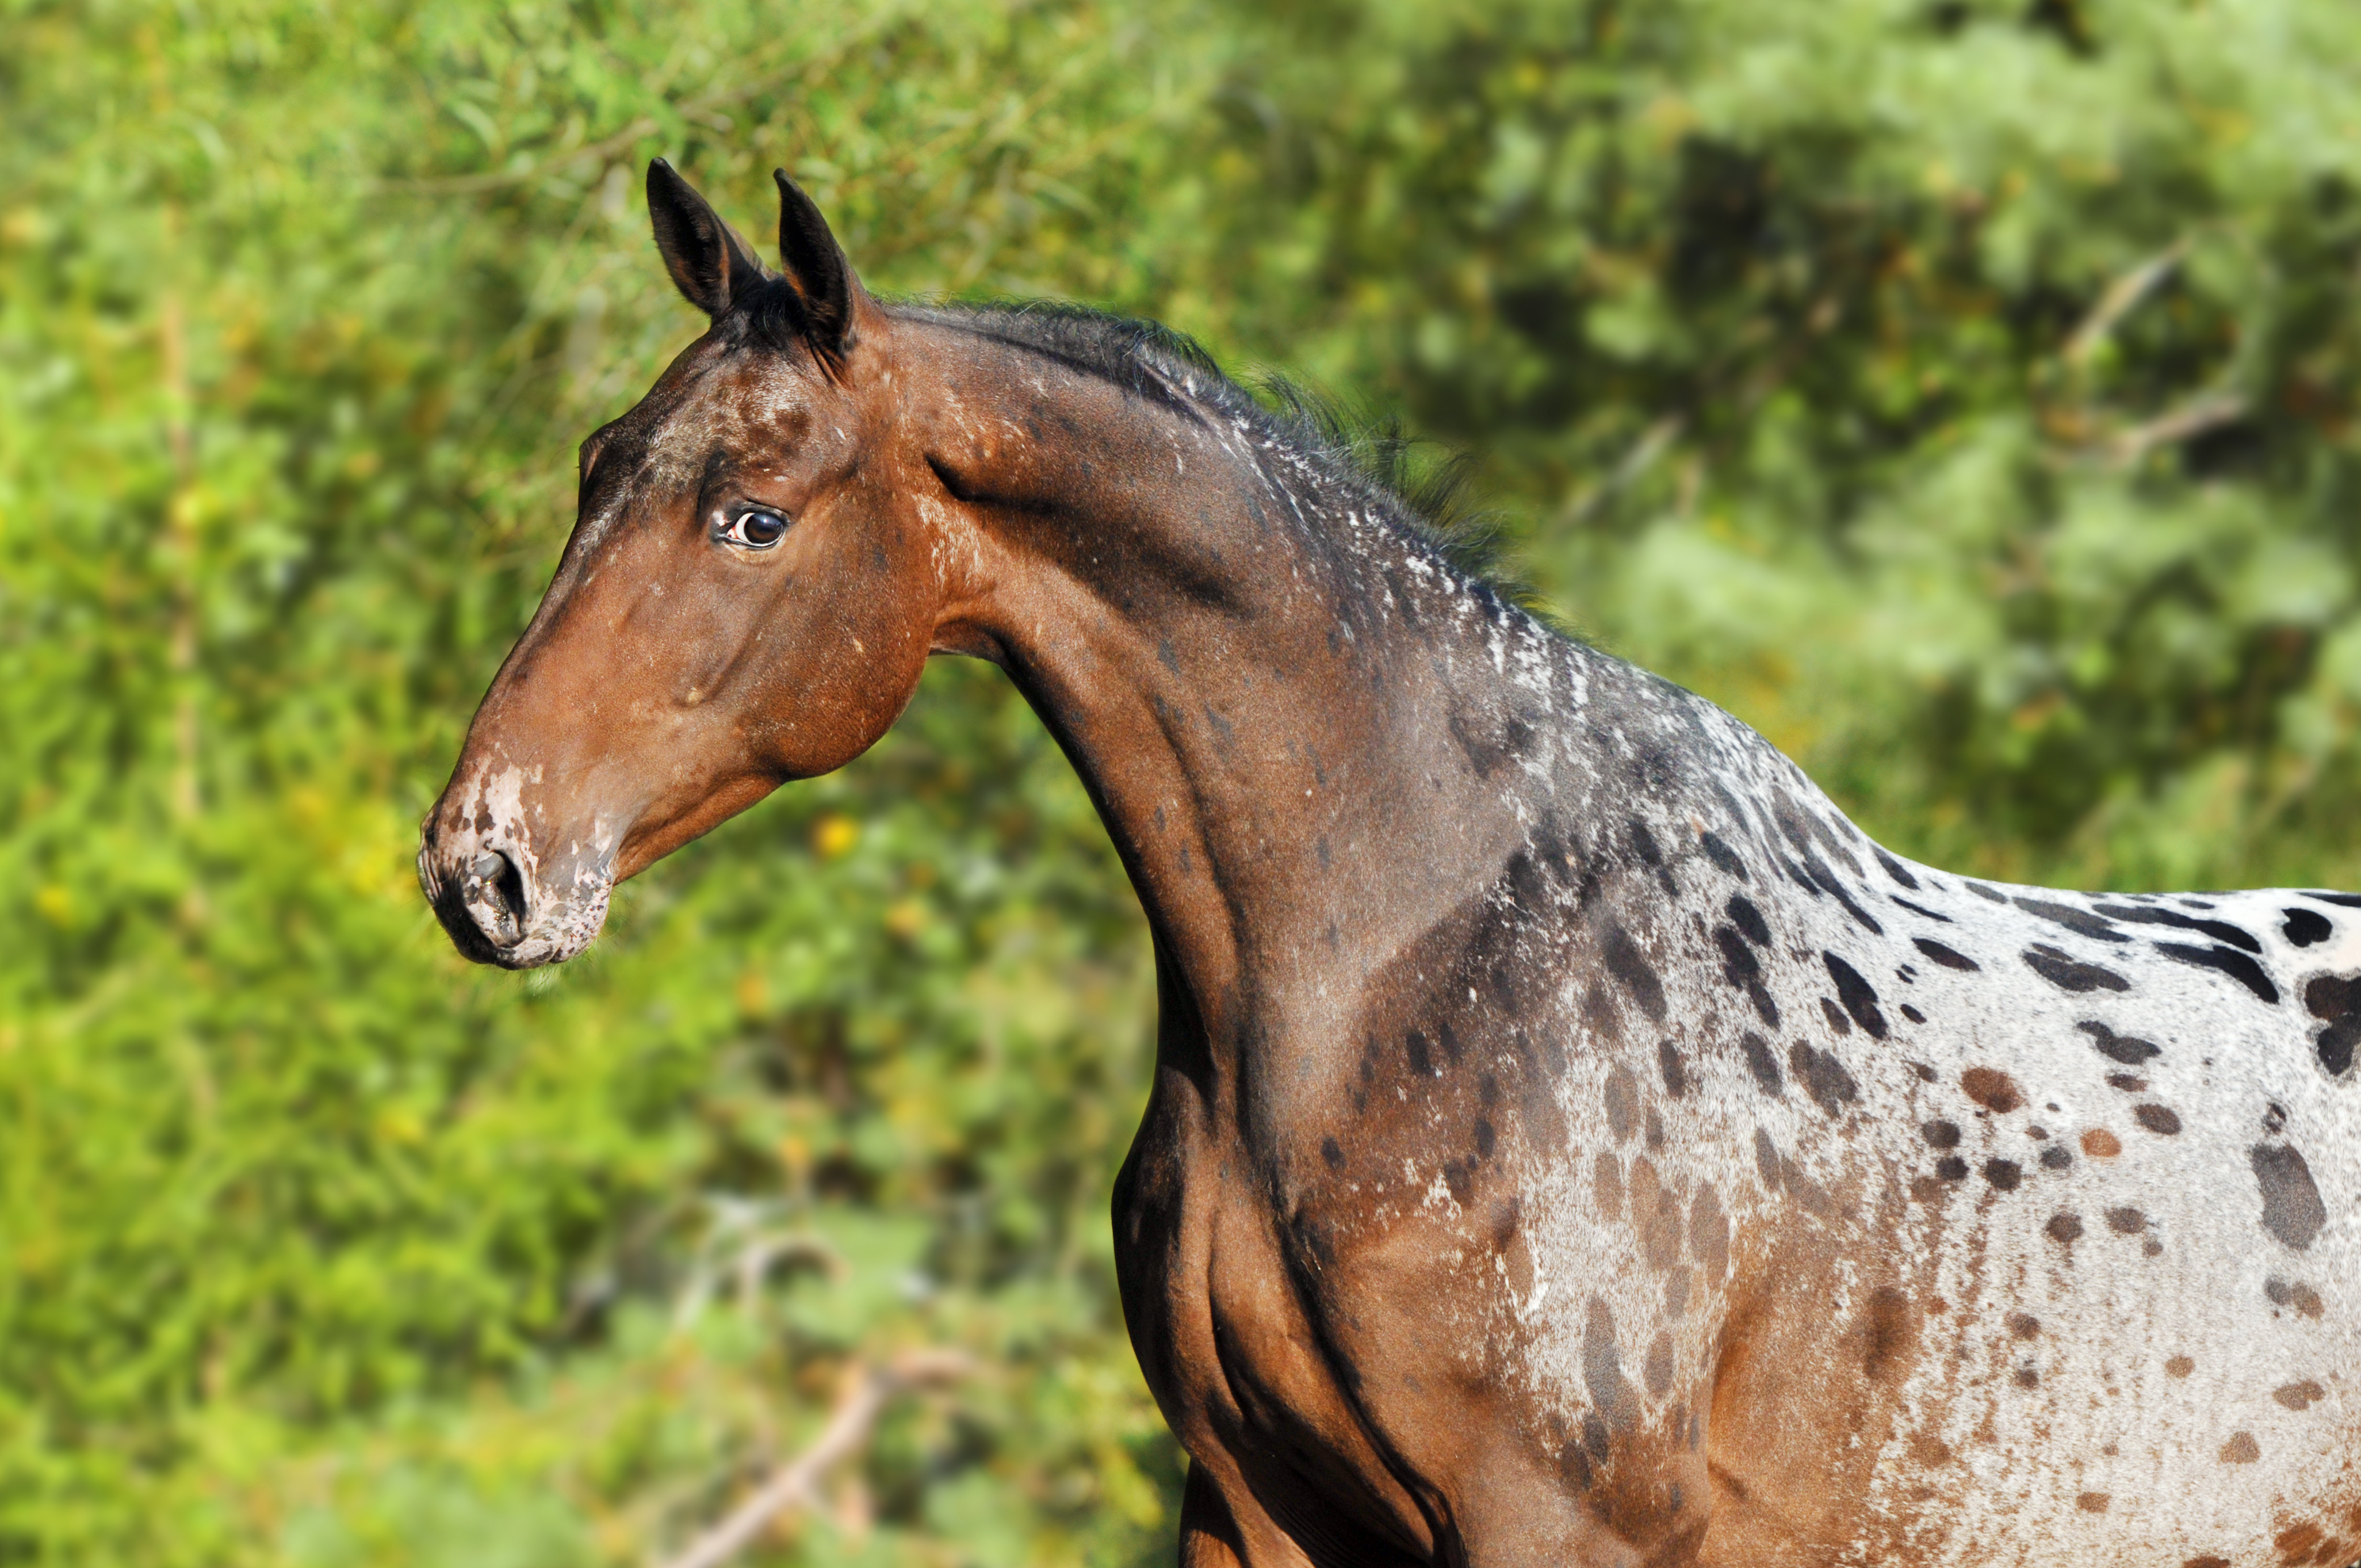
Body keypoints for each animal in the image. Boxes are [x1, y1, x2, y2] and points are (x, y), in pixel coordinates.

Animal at [424, 162, 2361, 1568]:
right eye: (598, 465)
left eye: (751, 513)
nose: (483, 864)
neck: (1409, 958)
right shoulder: (1255, 1504)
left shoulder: (1551, 1529)